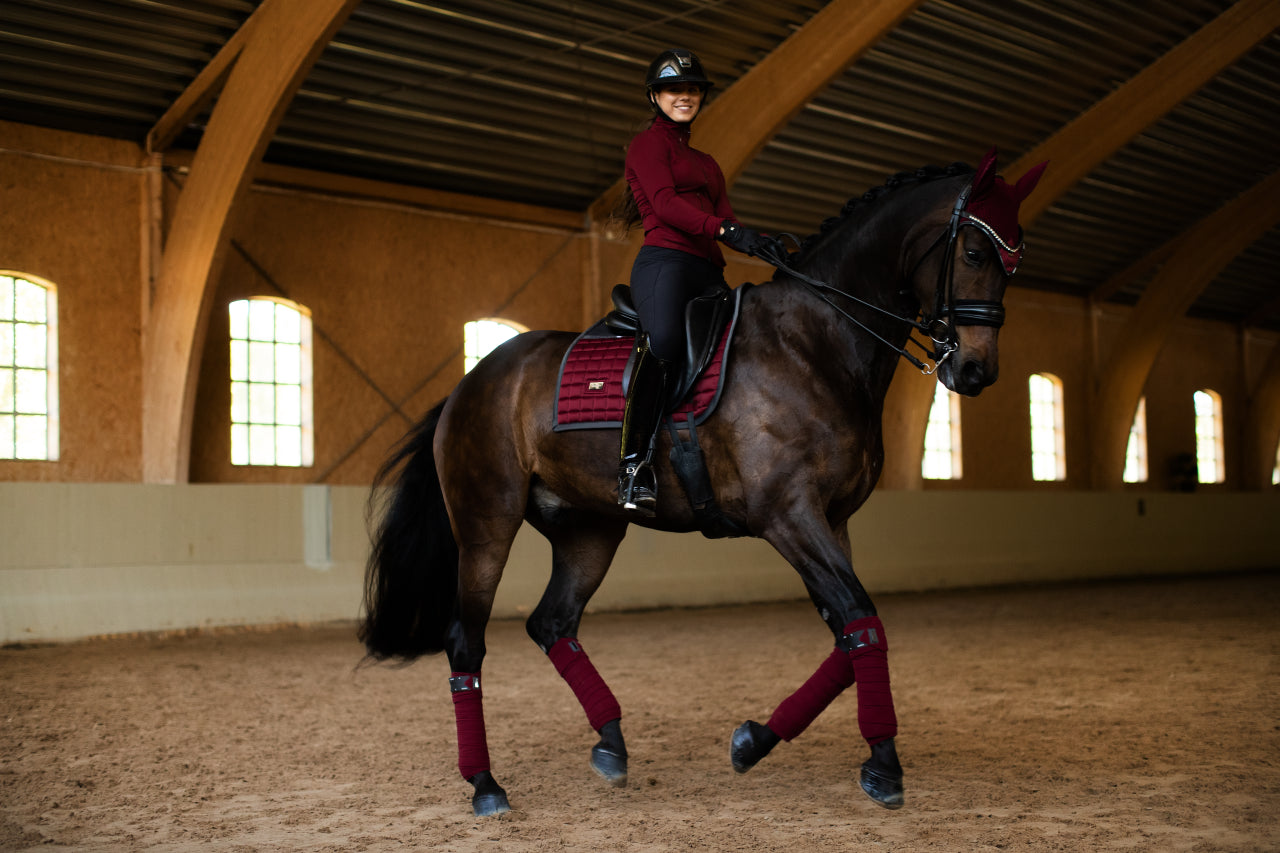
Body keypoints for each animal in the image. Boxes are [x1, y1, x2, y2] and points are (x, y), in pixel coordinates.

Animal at [358, 149, 1039, 814]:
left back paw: (610, 745)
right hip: (486, 527)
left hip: (590, 530)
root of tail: (473, 379)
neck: (816, 343)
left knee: (552, 623)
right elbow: (861, 619)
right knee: (465, 645)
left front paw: (754, 741)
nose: (975, 371)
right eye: (974, 253)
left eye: (1015, 258)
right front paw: (883, 766)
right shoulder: (788, 516)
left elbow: (849, 635)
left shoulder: (832, 520)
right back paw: (485, 784)